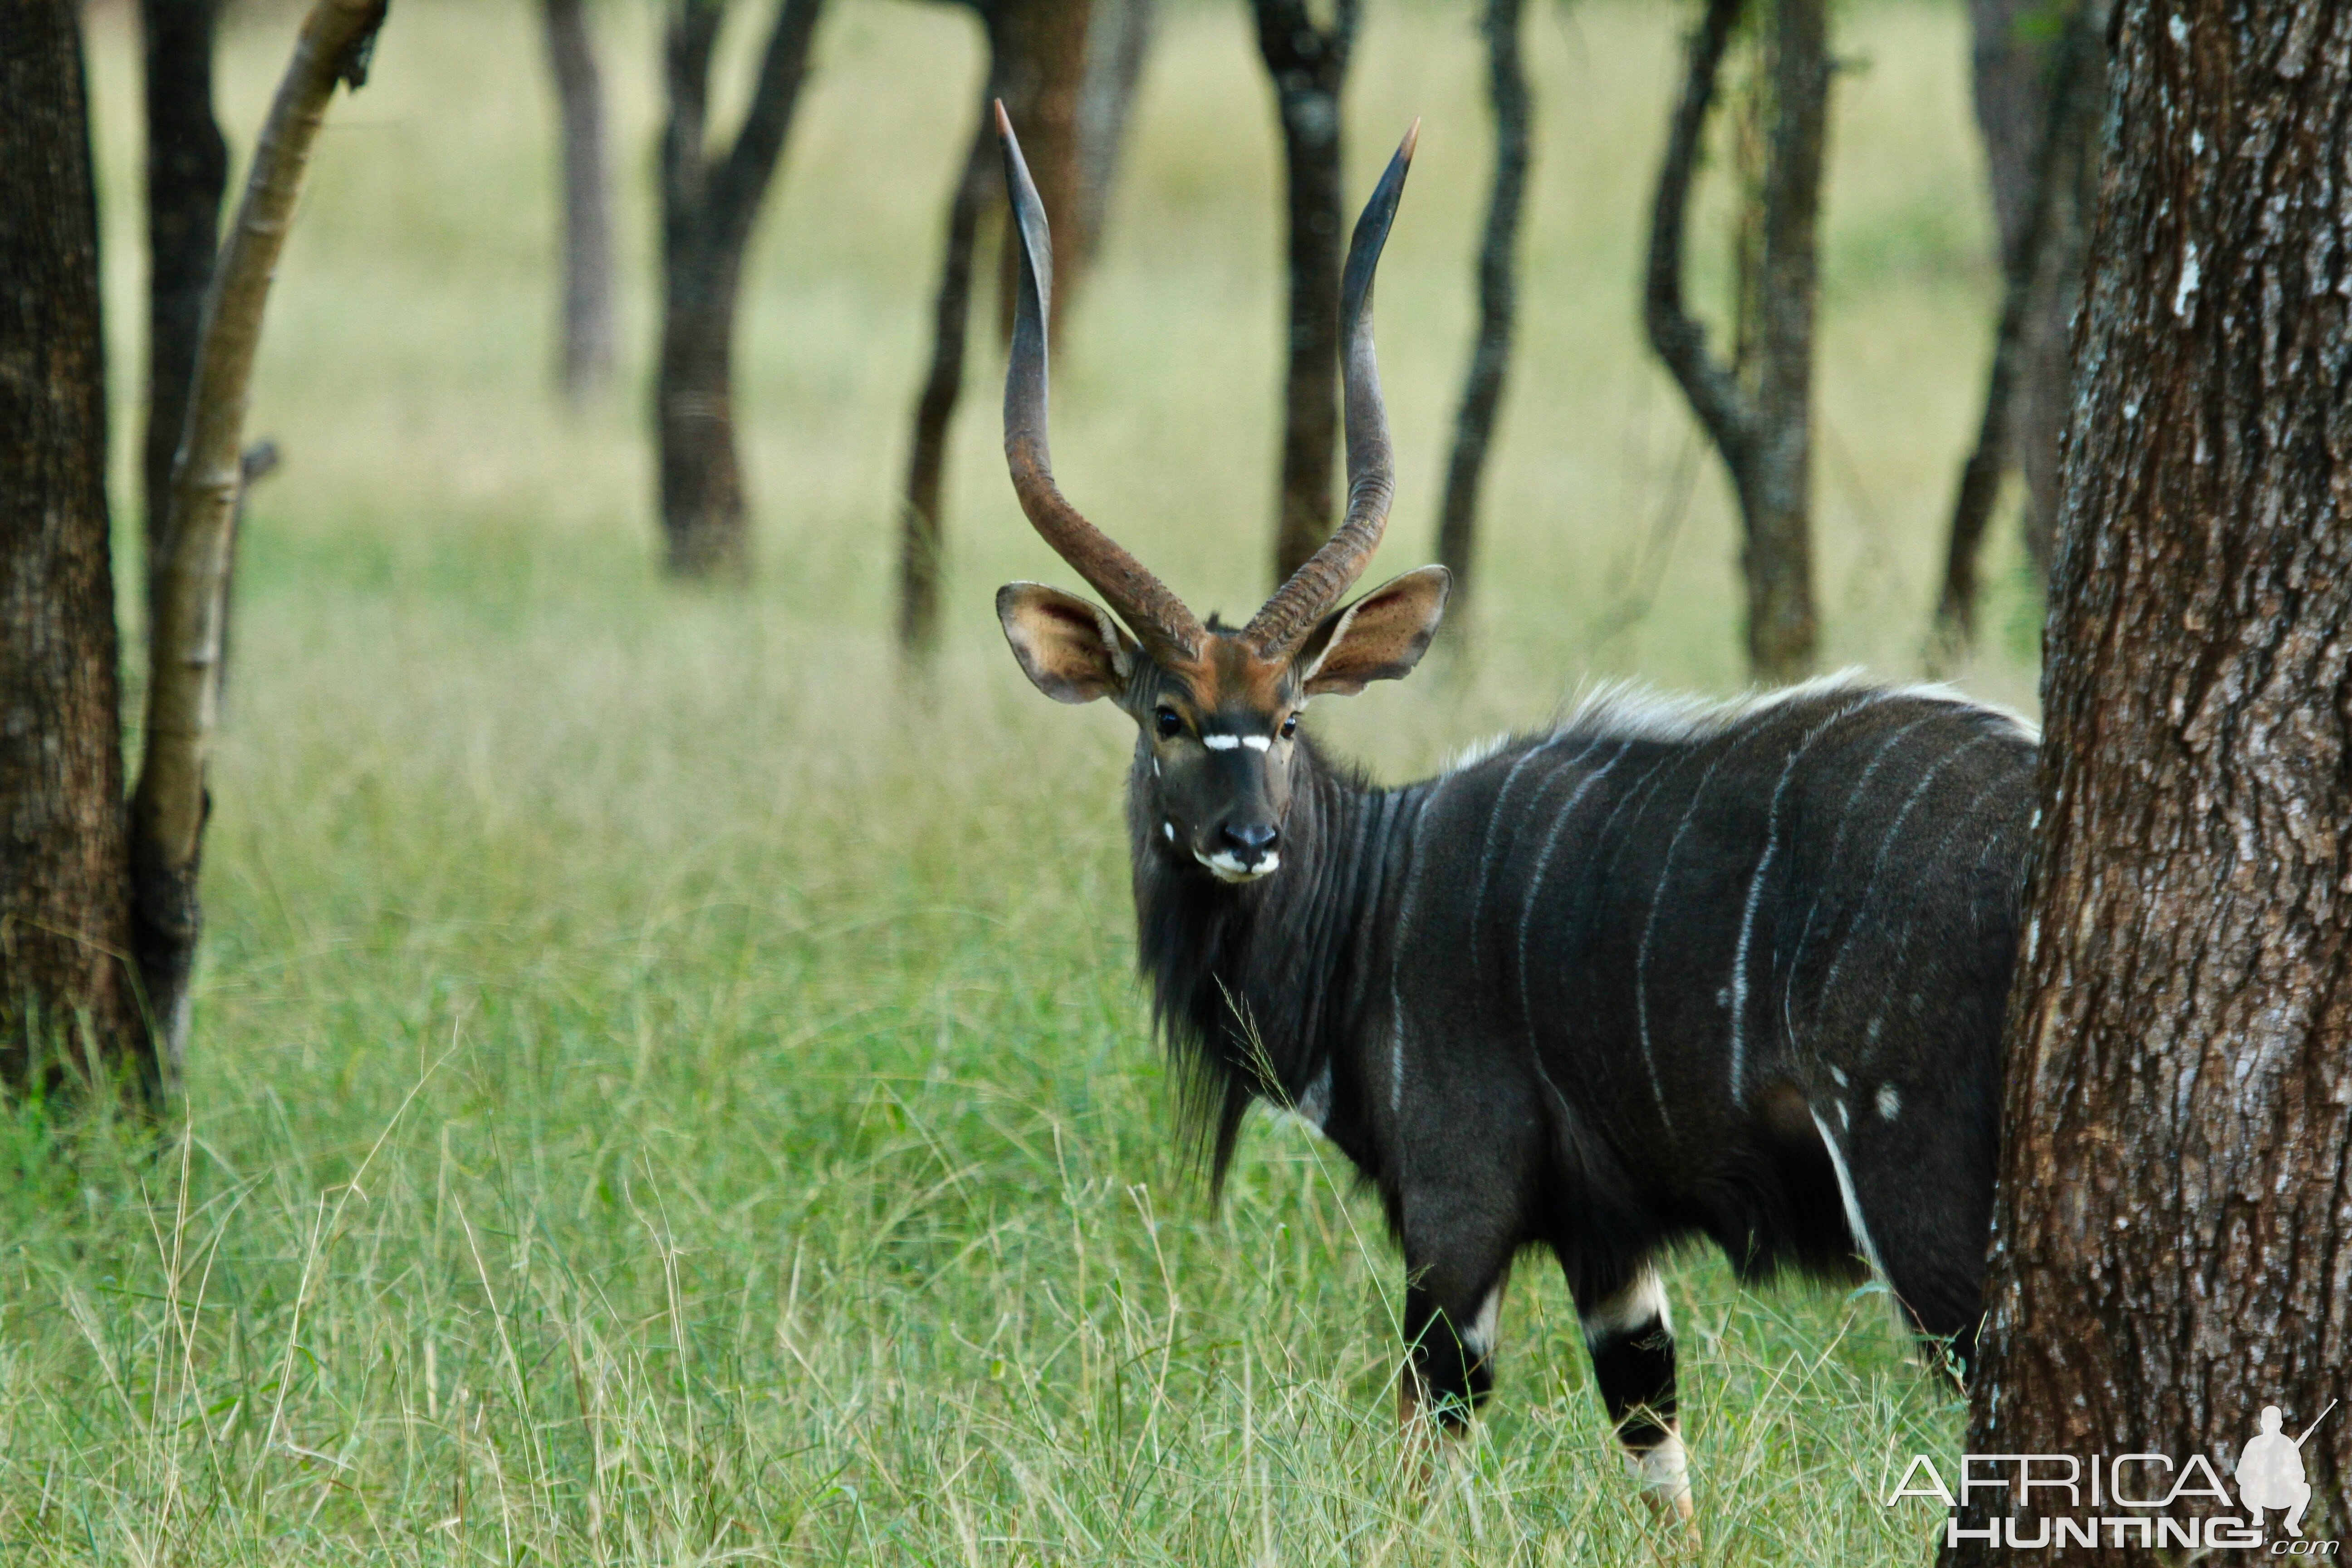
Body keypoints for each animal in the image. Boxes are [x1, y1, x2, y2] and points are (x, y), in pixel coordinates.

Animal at [983, 108, 2032, 1523]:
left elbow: (1431, 1429)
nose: (1250, 840)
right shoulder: (1609, 1240)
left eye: (1291, 717)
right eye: (1165, 715)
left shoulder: (1458, 1207)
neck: (1375, 897)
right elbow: (1653, 1434)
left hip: (1917, 1197)